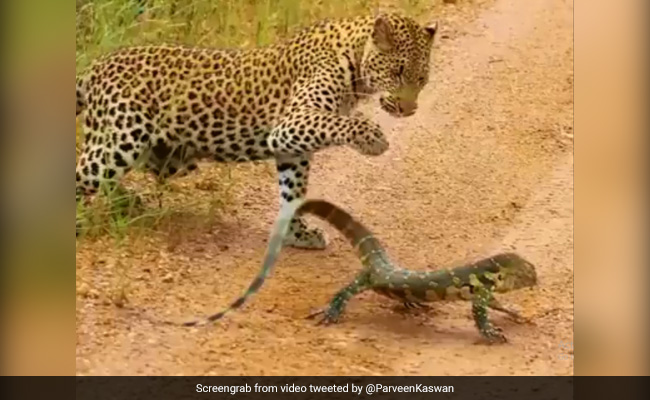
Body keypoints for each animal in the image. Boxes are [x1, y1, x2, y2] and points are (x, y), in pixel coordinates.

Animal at [75, 13, 438, 248]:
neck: (355, 56)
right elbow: (339, 122)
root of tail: (96, 65)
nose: (409, 109)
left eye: (422, 78)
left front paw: (297, 233)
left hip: (153, 153)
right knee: (82, 174)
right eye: (398, 72)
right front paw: (371, 137)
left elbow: (293, 189)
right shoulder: (293, 121)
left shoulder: (291, 144)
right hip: (122, 140)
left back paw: (128, 204)